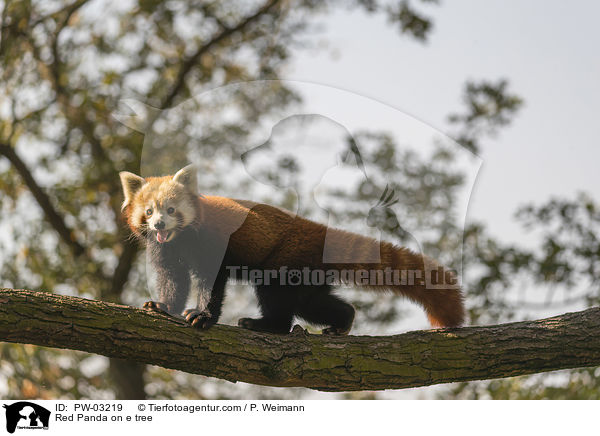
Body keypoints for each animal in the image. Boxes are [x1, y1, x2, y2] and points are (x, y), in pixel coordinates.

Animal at [118, 164, 464, 334]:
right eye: (148, 212)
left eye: (172, 210)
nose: (160, 224)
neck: (182, 239)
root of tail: (318, 230)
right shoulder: (164, 251)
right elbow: (173, 279)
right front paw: (164, 306)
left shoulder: (213, 244)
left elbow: (211, 282)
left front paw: (202, 315)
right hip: (310, 273)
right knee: (311, 303)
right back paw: (342, 321)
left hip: (287, 259)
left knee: (279, 296)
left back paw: (268, 325)